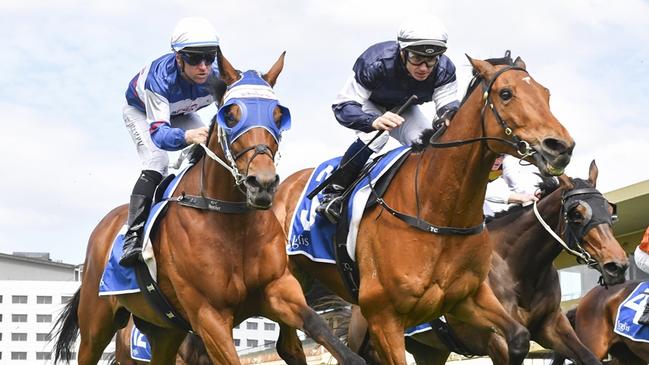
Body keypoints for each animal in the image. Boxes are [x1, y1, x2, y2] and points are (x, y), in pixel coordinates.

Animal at [50, 49, 364, 364]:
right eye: (231, 115)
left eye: (278, 115)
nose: (262, 183)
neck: (229, 217)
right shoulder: (208, 316)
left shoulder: (278, 289)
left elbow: (334, 341)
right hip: (96, 324)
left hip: (164, 330)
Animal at [270, 54, 576, 364]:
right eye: (505, 94)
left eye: (546, 93)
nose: (560, 146)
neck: (436, 213)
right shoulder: (384, 318)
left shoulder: (466, 299)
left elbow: (519, 337)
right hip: (287, 284)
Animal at [374, 161, 628, 364]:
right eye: (576, 214)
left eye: (610, 210)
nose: (618, 266)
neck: (519, 270)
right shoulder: (497, 340)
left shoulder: (552, 326)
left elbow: (588, 357)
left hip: (429, 350)